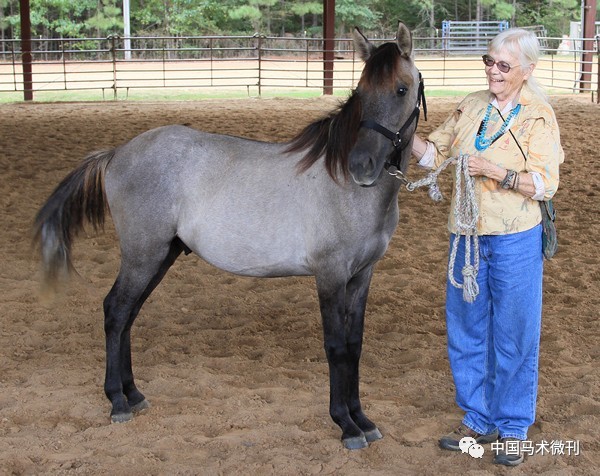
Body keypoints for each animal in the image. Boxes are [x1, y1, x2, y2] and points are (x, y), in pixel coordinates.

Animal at [34, 21, 426, 450]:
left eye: (401, 89)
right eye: (360, 91)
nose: (362, 166)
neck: (347, 189)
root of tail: (116, 153)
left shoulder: (361, 276)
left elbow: (354, 347)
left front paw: (363, 420)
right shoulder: (330, 275)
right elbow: (336, 347)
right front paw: (346, 425)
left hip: (160, 256)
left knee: (128, 315)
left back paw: (133, 394)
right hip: (143, 255)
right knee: (116, 311)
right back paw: (118, 402)